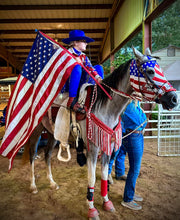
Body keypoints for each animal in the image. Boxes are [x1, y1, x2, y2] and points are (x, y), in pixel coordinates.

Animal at [22, 47, 177, 219]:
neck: (104, 106)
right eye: (150, 71)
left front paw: (106, 202)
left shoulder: (107, 146)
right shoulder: (93, 148)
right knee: (32, 155)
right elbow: (91, 178)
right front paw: (92, 209)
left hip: (53, 134)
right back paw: (33, 186)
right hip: (36, 132)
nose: (174, 98)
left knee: (48, 155)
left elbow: (103, 174)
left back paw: (52, 183)